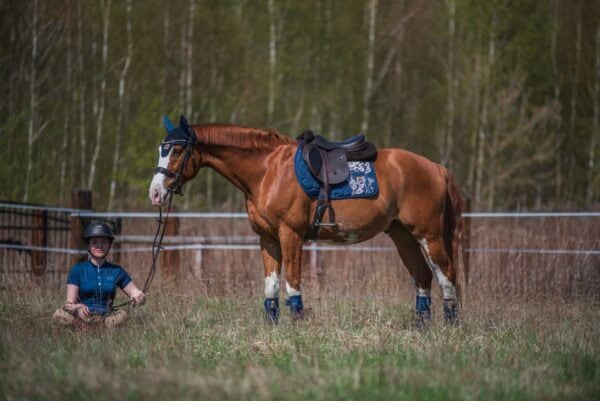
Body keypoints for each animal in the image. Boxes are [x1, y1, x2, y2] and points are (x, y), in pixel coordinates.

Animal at [149, 114, 464, 324]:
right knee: (422, 277)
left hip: (430, 235)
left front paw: (297, 326)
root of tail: (437, 168)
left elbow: (293, 284)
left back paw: (450, 326)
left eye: (177, 150)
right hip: (402, 235)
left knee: (447, 277)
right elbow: (272, 287)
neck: (267, 171)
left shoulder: (291, 235)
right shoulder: (267, 239)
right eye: (161, 149)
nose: (155, 192)